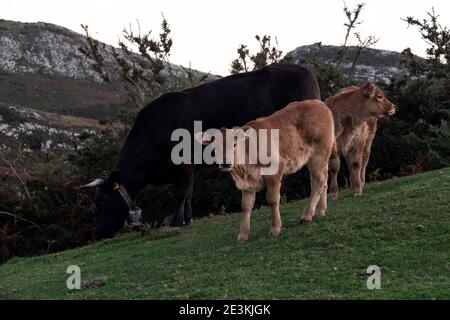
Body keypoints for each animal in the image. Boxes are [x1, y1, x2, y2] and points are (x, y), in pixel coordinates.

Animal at [83, 62, 320, 238]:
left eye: (101, 202)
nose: (99, 232)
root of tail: (304, 70)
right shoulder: (190, 166)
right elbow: (188, 192)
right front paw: (187, 219)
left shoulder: (183, 160)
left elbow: (180, 192)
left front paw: (177, 221)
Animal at [196, 99, 334, 241]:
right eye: (214, 147)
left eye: (234, 144)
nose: (225, 162)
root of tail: (318, 103)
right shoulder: (248, 181)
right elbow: (246, 206)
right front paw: (243, 234)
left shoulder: (273, 172)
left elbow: (272, 199)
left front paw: (275, 228)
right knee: (323, 180)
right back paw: (320, 211)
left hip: (319, 153)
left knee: (318, 182)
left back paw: (307, 215)